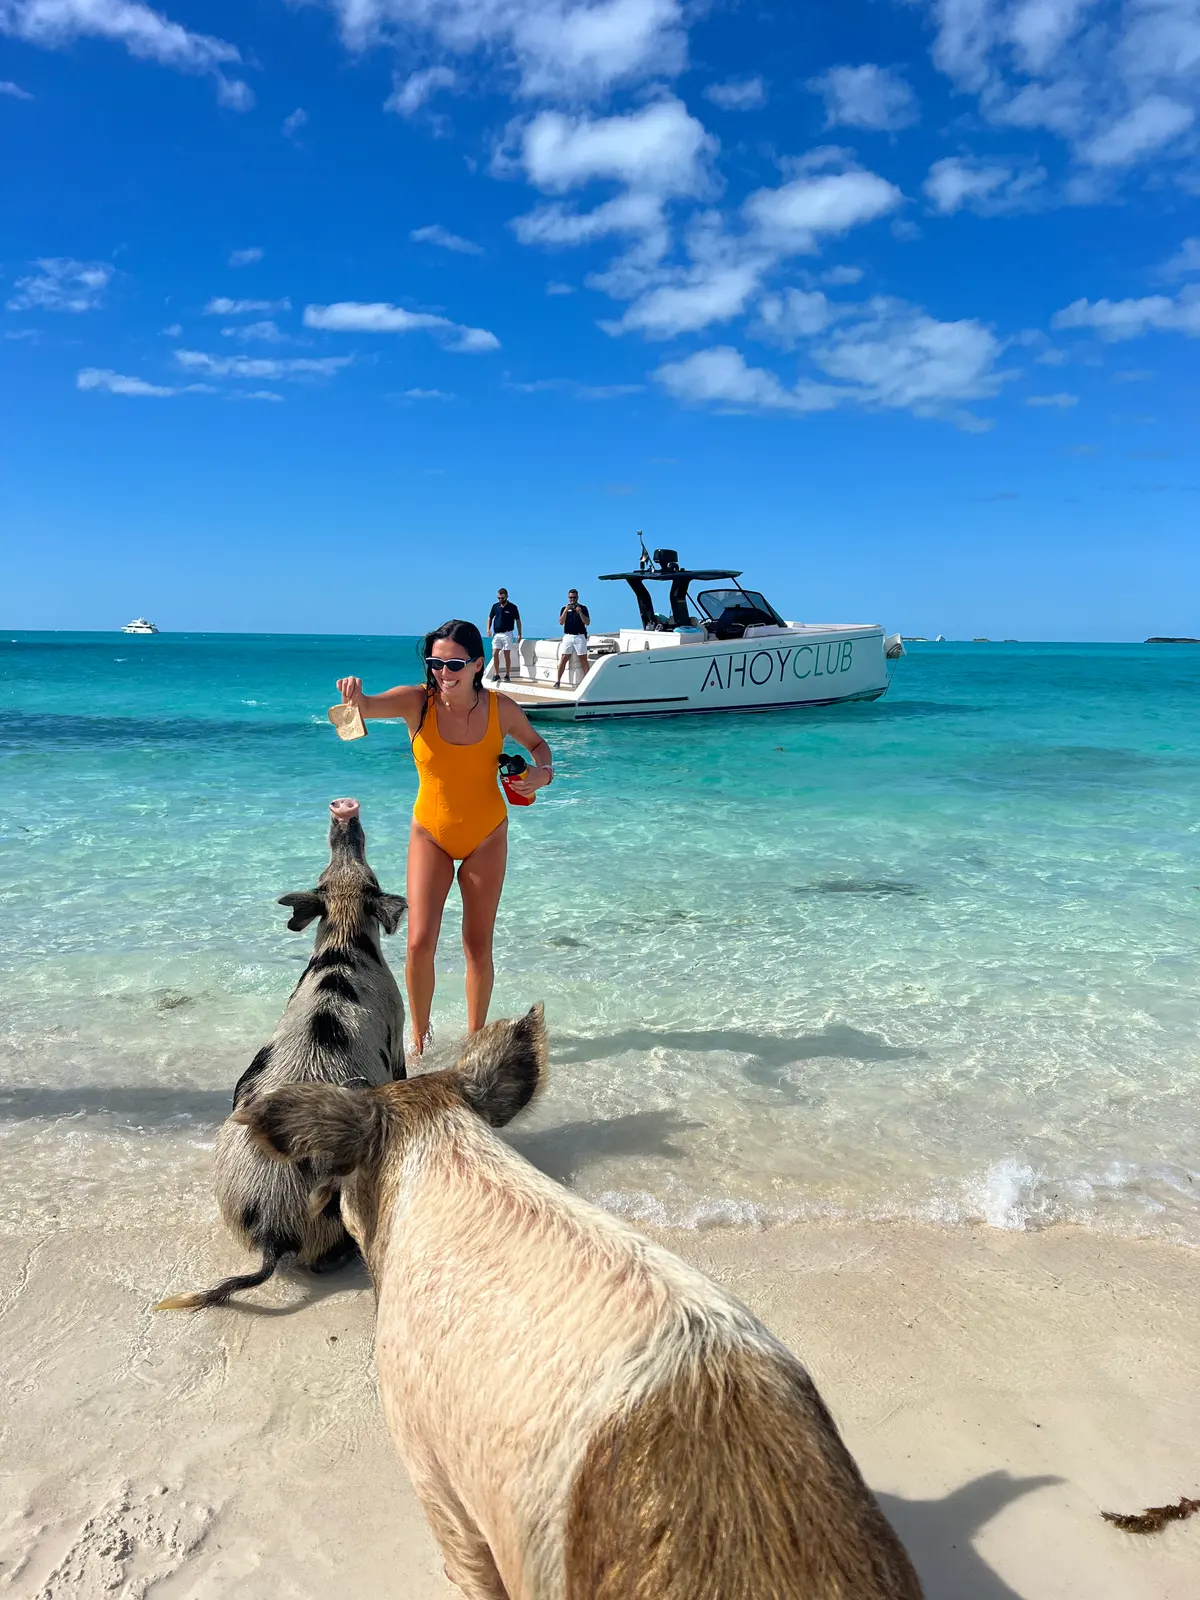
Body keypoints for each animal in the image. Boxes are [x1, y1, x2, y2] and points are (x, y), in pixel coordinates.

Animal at [156, 798, 406, 1312]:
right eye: (374, 877)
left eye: (325, 871)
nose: (345, 812)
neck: (345, 940)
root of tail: (273, 1229)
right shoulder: (398, 1030)